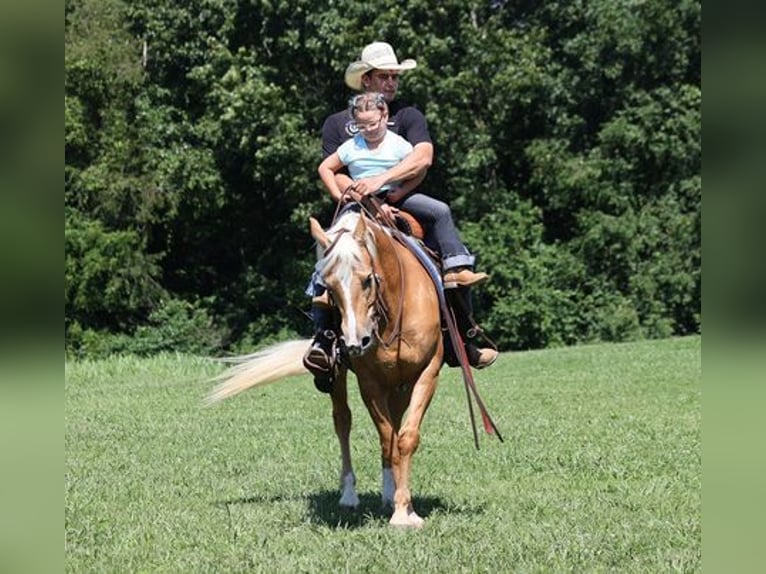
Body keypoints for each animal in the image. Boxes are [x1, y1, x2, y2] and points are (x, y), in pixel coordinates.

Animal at [210, 209, 444, 528]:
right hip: (342, 377)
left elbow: (405, 439)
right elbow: (387, 438)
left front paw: (404, 509)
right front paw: (399, 510)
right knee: (343, 421)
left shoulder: (426, 373)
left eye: (367, 280)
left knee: (394, 427)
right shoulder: (370, 382)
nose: (356, 341)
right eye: (327, 287)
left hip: (399, 385)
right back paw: (350, 496)